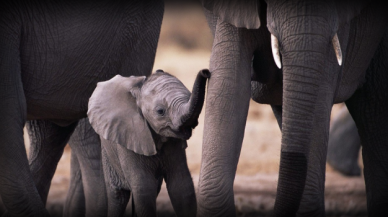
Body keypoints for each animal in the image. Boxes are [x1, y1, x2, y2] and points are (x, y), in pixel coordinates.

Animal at [87, 68, 211, 216]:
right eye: (160, 111)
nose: (206, 72)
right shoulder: (129, 137)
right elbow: (144, 189)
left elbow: (181, 186)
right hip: (108, 152)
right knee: (118, 195)